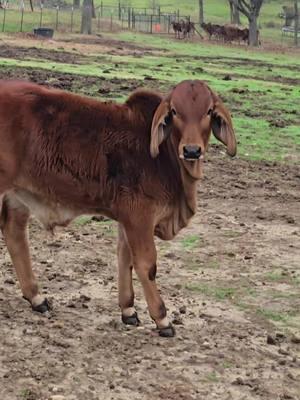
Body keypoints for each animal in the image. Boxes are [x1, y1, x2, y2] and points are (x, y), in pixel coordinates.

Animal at [0, 79, 237, 336]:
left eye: (209, 111)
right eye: (174, 111)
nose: (192, 150)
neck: (165, 157)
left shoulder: (128, 217)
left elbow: (125, 258)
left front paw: (128, 310)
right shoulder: (140, 215)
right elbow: (146, 264)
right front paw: (162, 319)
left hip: (18, 194)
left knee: (14, 233)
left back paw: (37, 297)